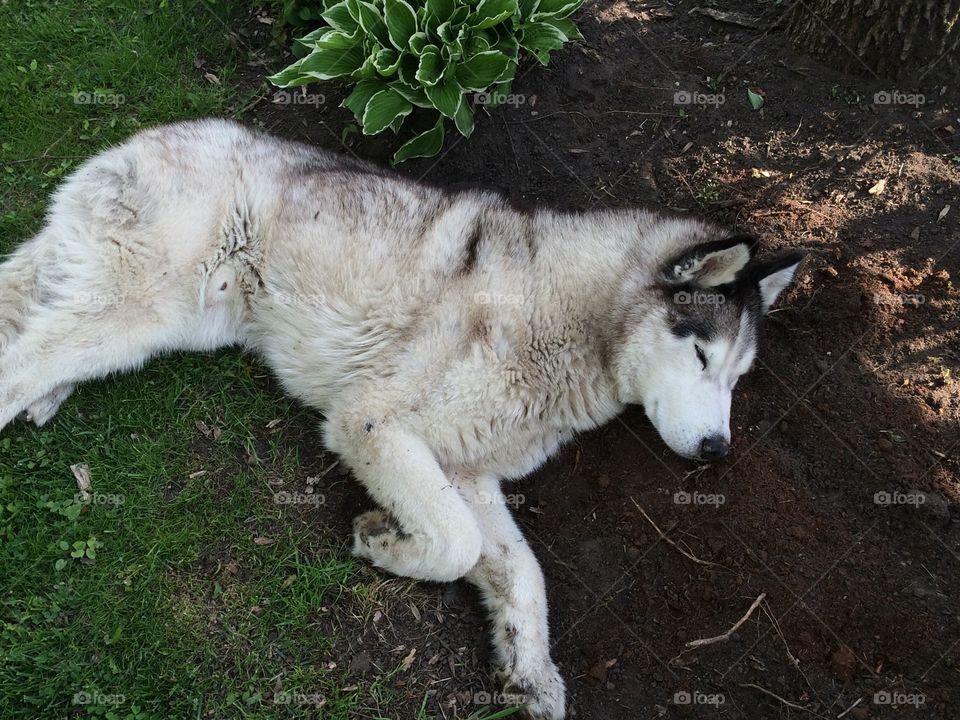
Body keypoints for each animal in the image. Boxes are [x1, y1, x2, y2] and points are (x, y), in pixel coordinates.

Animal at [0, 121, 804, 716]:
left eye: (738, 379)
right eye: (700, 355)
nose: (716, 449)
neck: (565, 324)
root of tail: (152, 135)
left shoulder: (467, 471)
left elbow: (522, 571)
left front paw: (530, 669)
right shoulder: (372, 425)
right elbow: (453, 543)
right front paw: (384, 541)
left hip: (177, 321)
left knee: (35, 321)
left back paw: (51, 392)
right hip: (148, 308)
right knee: (21, 359)